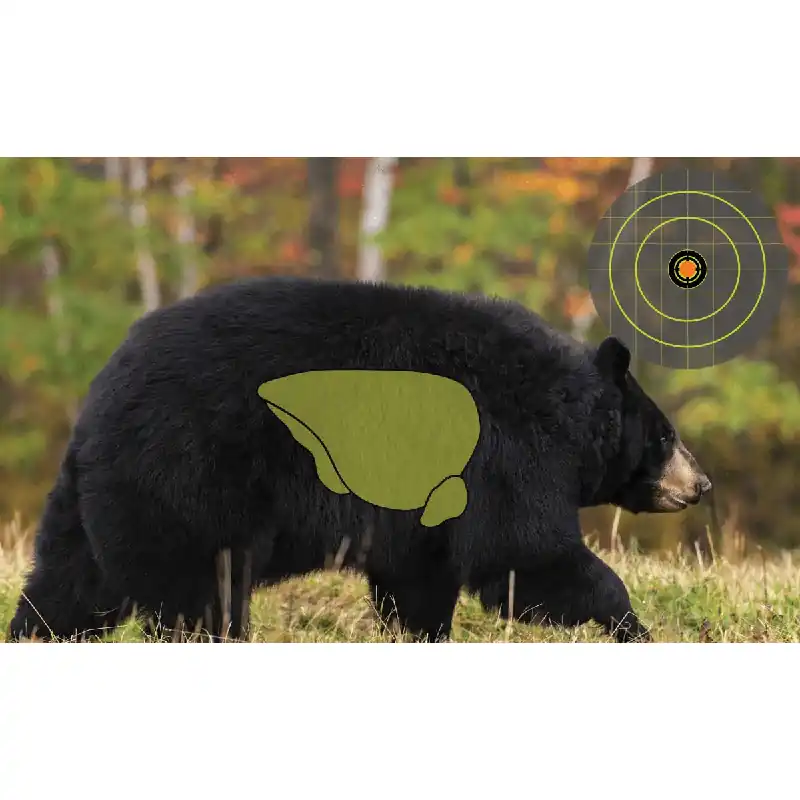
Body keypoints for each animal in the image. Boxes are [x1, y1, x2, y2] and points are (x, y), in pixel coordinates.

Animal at [7, 276, 711, 643]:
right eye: (665, 436)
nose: (701, 483)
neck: (560, 407)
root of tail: (102, 393)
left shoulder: (429, 508)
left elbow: (421, 577)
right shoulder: (506, 453)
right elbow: (524, 553)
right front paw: (632, 626)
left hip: (100, 495)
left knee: (69, 584)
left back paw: (32, 631)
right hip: (190, 472)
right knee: (200, 587)